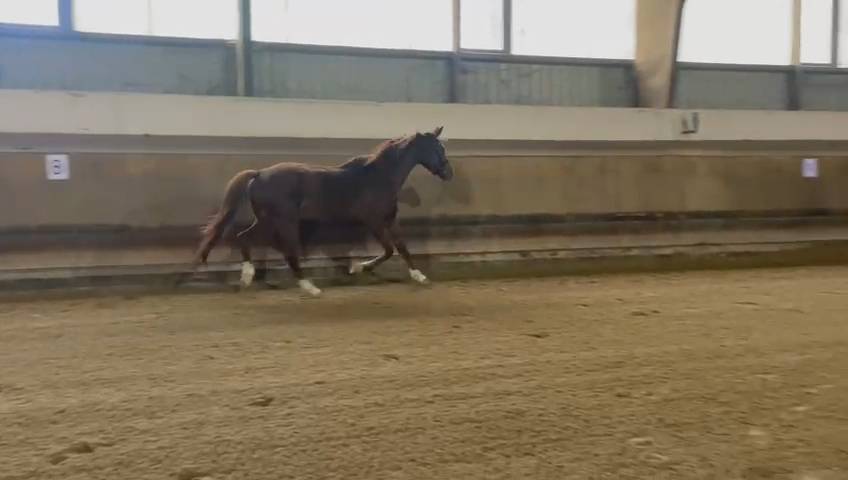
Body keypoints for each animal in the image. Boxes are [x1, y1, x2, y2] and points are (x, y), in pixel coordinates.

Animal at [189, 126, 452, 297]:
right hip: (281, 221)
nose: (449, 174)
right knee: (282, 250)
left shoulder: (390, 219)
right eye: (437, 148)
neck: (379, 177)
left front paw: (420, 276)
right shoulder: (374, 221)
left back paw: (248, 278)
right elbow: (388, 250)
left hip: (268, 220)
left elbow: (402, 247)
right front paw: (358, 267)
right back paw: (309, 287)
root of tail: (259, 174)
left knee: (247, 238)